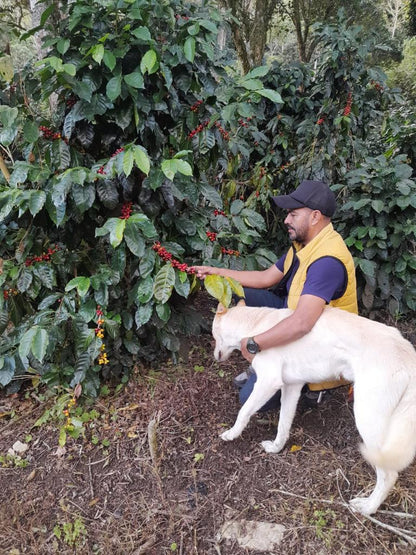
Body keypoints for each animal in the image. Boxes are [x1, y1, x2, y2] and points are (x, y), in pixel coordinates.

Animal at [213, 304, 416, 516]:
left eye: (213, 335)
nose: (214, 356)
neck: (257, 324)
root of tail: (409, 355)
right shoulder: (291, 387)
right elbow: (283, 425)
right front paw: (276, 448)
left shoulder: (268, 382)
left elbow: (243, 412)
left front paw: (231, 434)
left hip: (367, 419)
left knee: (389, 475)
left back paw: (368, 507)